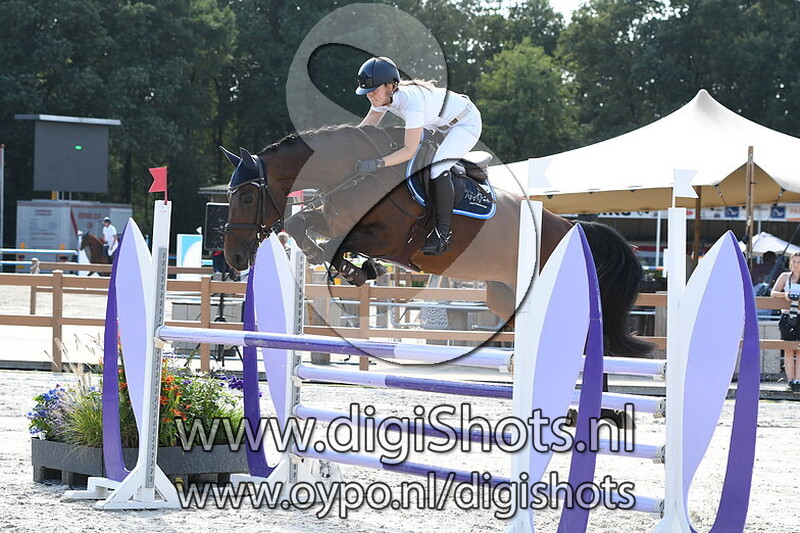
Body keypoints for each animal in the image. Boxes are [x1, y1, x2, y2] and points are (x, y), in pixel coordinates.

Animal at [221, 125, 652, 357]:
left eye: (247, 197)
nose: (234, 257)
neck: (357, 173)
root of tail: (571, 228)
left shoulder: (389, 238)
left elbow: (338, 245)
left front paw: (356, 268)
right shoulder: (332, 217)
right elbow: (301, 225)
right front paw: (346, 265)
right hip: (504, 294)